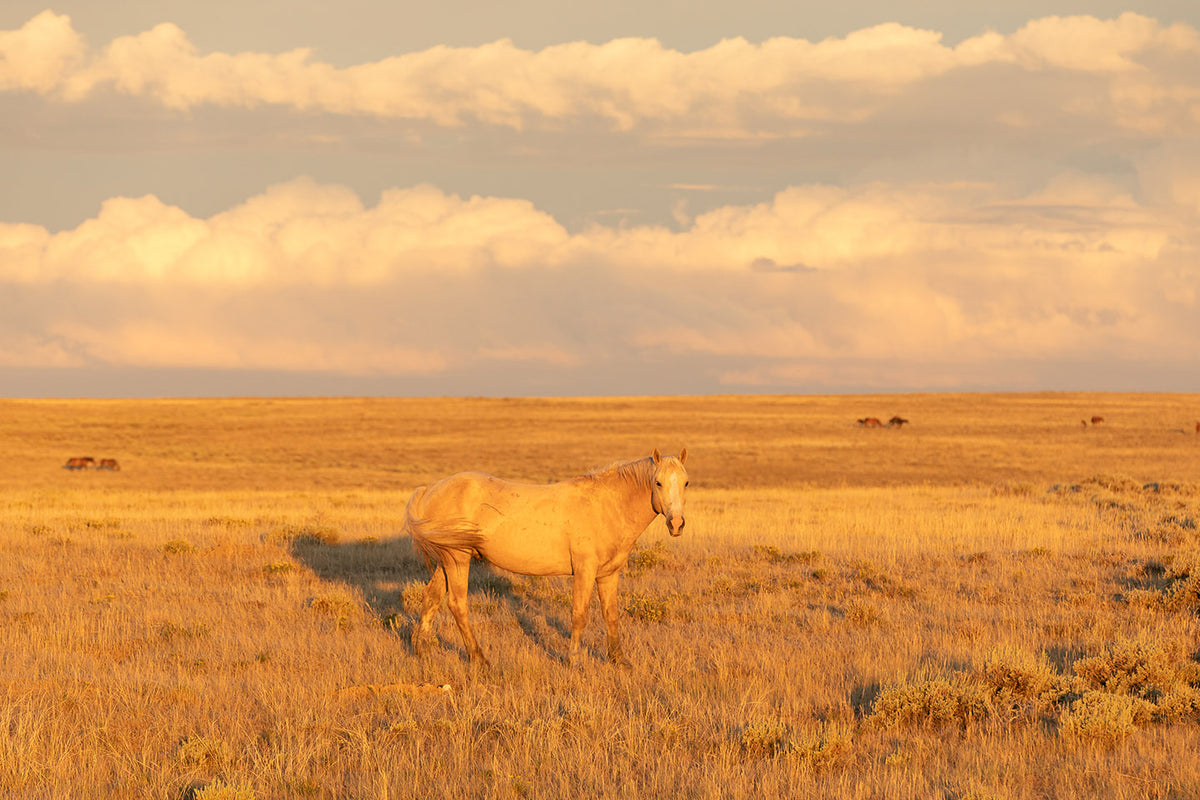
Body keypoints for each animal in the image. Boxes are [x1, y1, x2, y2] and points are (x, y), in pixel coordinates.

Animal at [403, 450, 691, 671]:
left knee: (431, 598)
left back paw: (421, 650)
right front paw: (574, 661)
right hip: (458, 559)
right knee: (457, 604)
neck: (608, 505)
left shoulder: (609, 574)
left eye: (686, 482)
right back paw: (479, 658)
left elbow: (611, 615)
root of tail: (429, 490)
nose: (676, 524)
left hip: (446, 561)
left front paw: (619, 660)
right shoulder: (585, 571)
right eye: (658, 482)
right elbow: (579, 615)